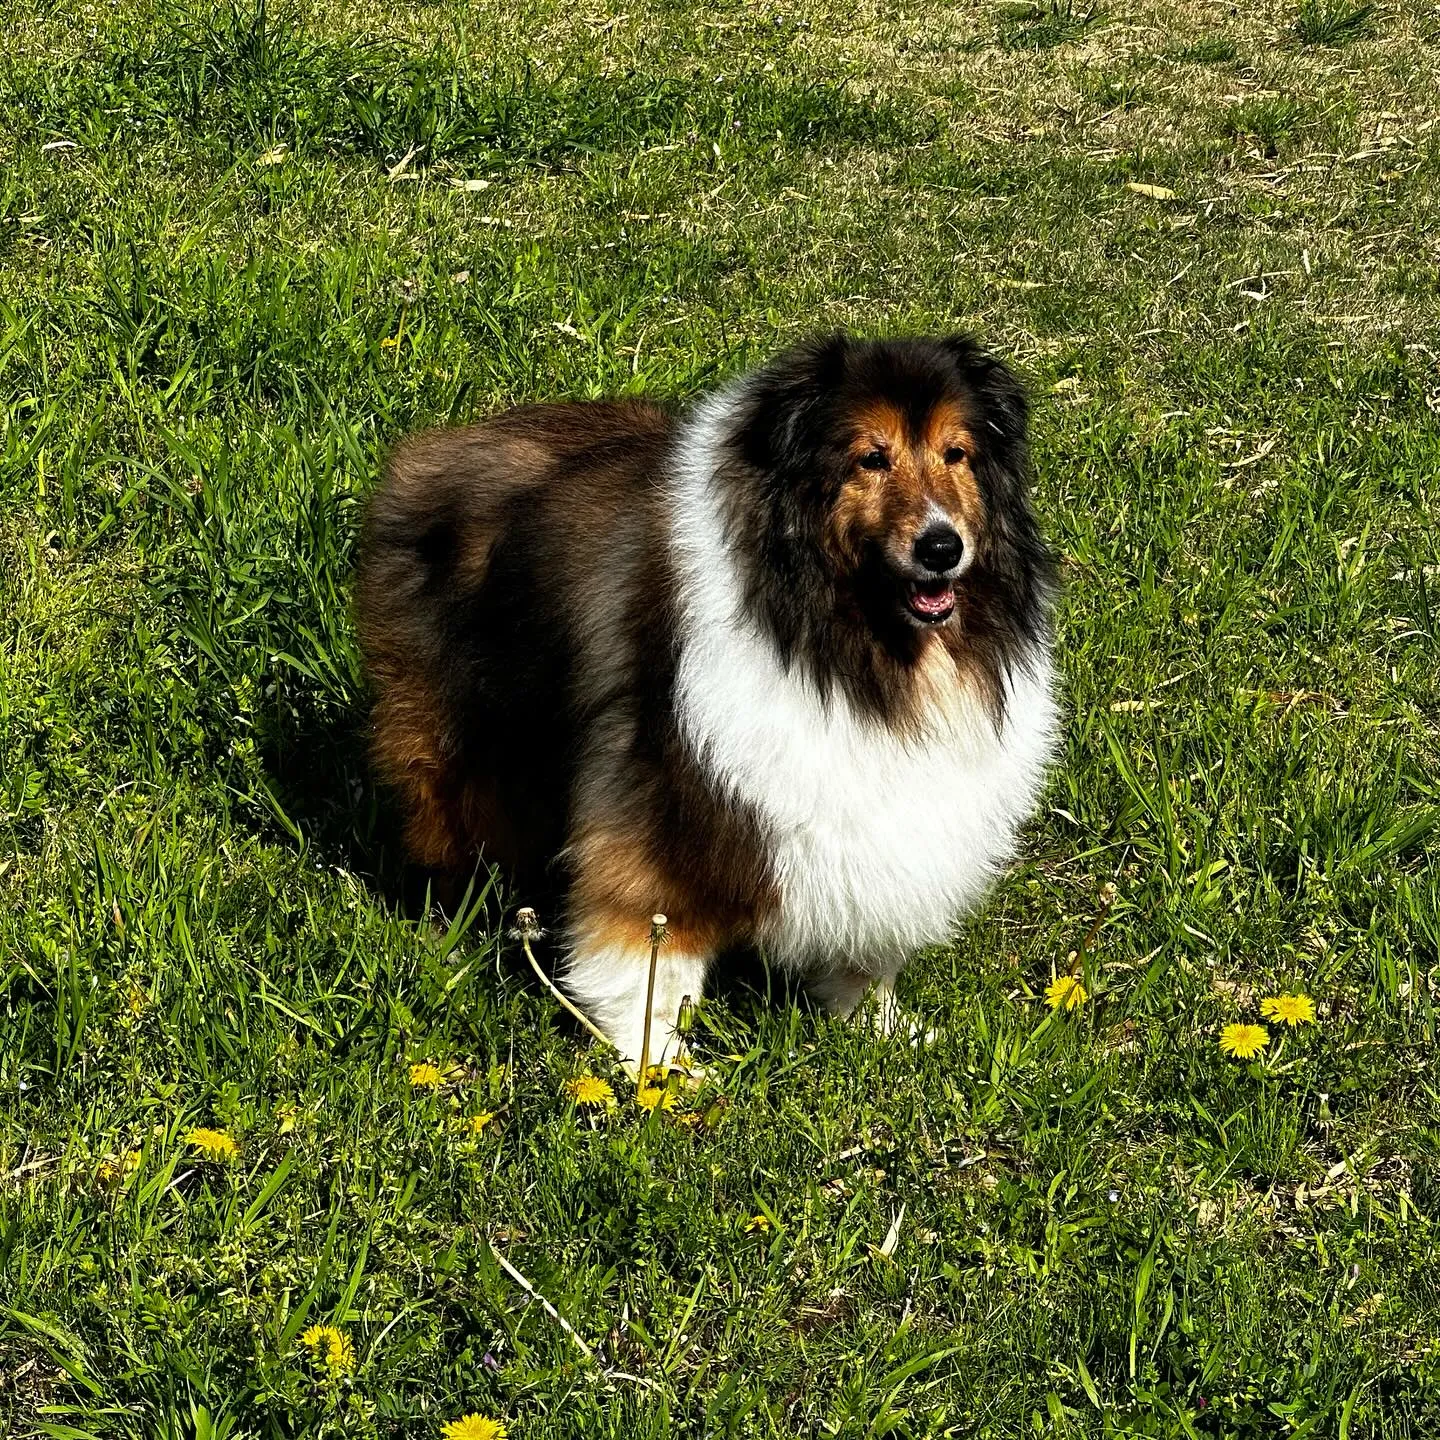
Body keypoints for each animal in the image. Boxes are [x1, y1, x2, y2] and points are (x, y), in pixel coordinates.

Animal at [357, 331, 1059, 1065]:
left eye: (958, 453)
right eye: (872, 457)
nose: (942, 546)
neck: (849, 645)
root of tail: (439, 444)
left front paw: (881, 1028)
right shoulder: (660, 798)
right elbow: (649, 950)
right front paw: (658, 1064)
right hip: (454, 739)